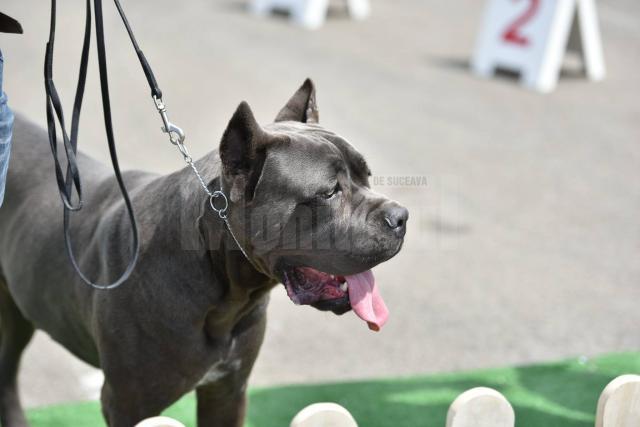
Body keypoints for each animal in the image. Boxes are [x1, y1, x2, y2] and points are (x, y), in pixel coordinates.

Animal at [0, 78, 408, 426]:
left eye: (366, 176)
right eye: (329, 192)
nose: (401, 217)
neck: (227, 292)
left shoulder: (227, 390)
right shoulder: (128, 402)